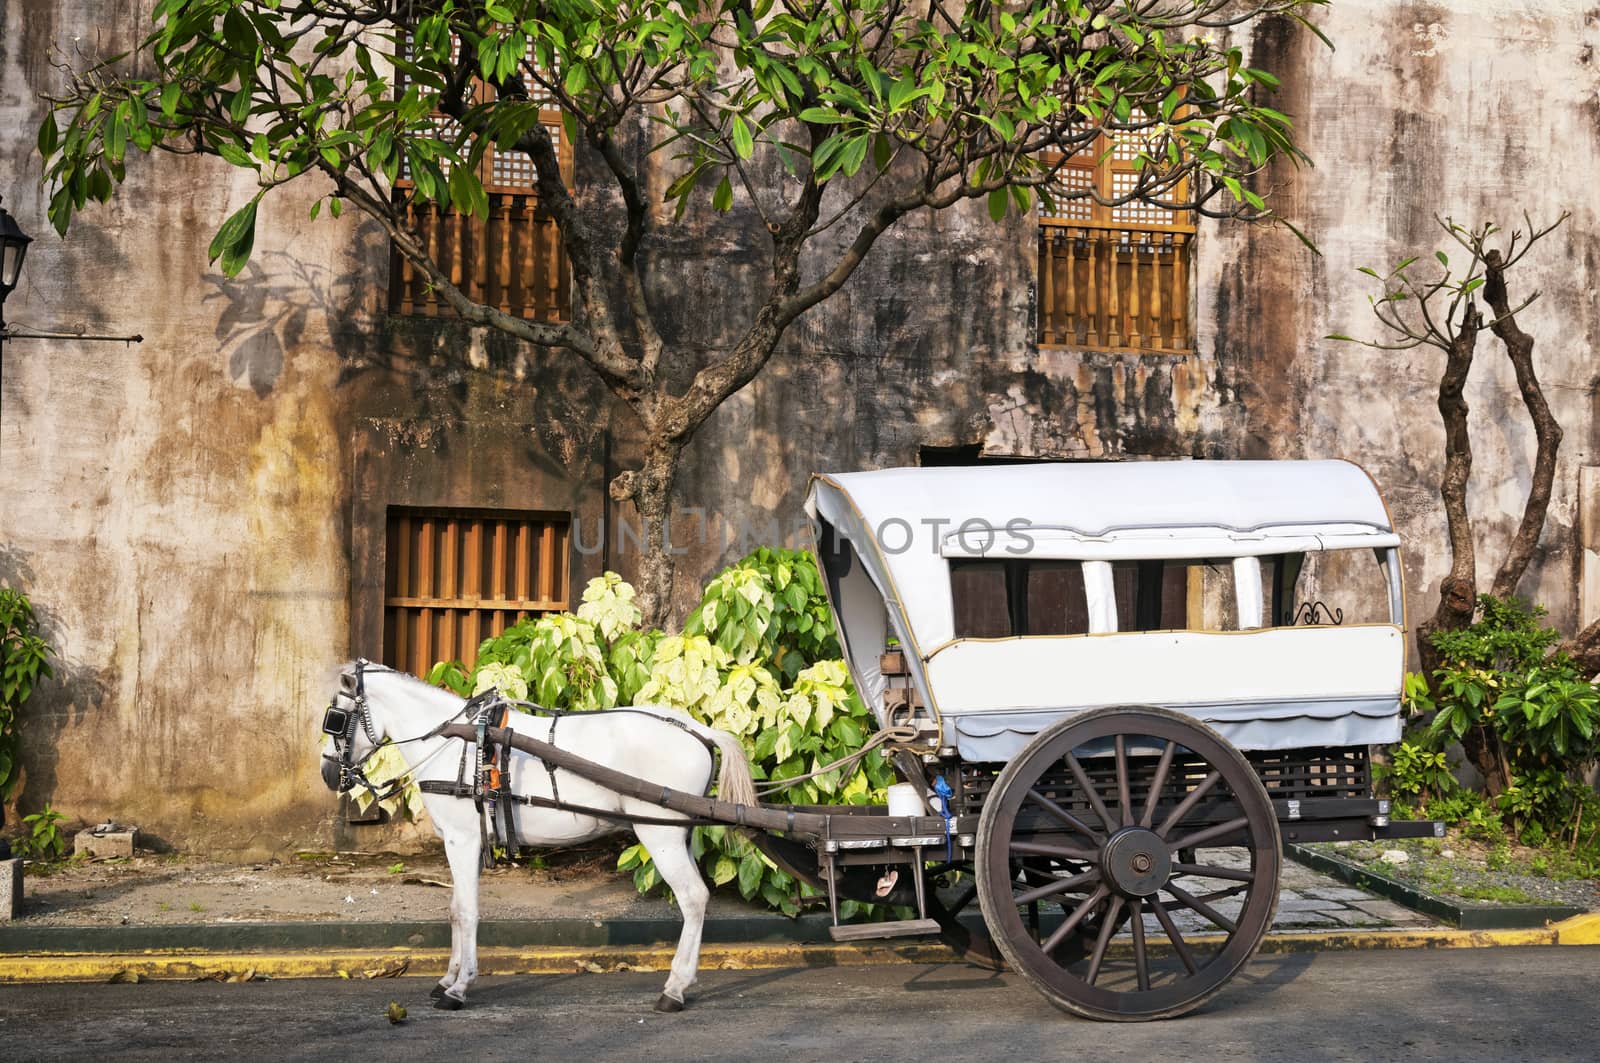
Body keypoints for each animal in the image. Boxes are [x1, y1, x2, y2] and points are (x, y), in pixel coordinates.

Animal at [321, 656, 758, 1011]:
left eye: (335, 719)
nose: (328, 773)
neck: (459, 742)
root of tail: (698, 730)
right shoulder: (459, 841)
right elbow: (455, 909)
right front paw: (447, 978)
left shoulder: (463, 839)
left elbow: (467, 911)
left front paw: (459, 987)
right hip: (675, 833)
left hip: (658, 835)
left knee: (693, 898)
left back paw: (675, 988)